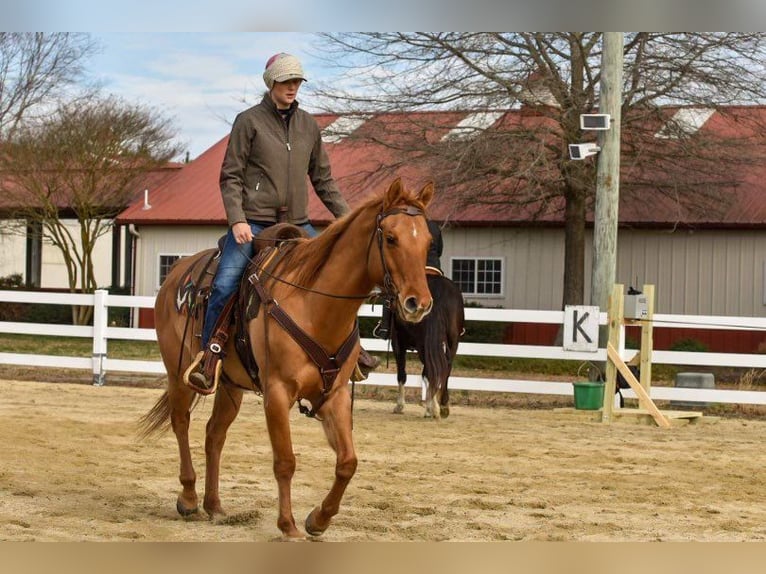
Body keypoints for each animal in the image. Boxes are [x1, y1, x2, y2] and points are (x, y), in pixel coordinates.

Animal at [139, 179, 436, 540]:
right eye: (391, 238)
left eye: (428, 241)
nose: (418, 303)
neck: (315, 307)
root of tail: (175, 276)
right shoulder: (277, 394)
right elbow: (285, 461)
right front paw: (288, 525)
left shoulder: (335, 396)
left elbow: (347, 462)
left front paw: (318, 519)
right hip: (179, 373)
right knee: (181, 423)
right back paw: (189, 498)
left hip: (230, 385)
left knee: (214, 434)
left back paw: (215, 505)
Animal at [392, 274, 464, 418]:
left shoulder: (398, 344)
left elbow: (402, 374)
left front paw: (400, 405)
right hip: (452, 342)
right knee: (446, 369)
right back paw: (442, 406)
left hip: (423, 346)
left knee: (431, 372)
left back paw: (433, 409)